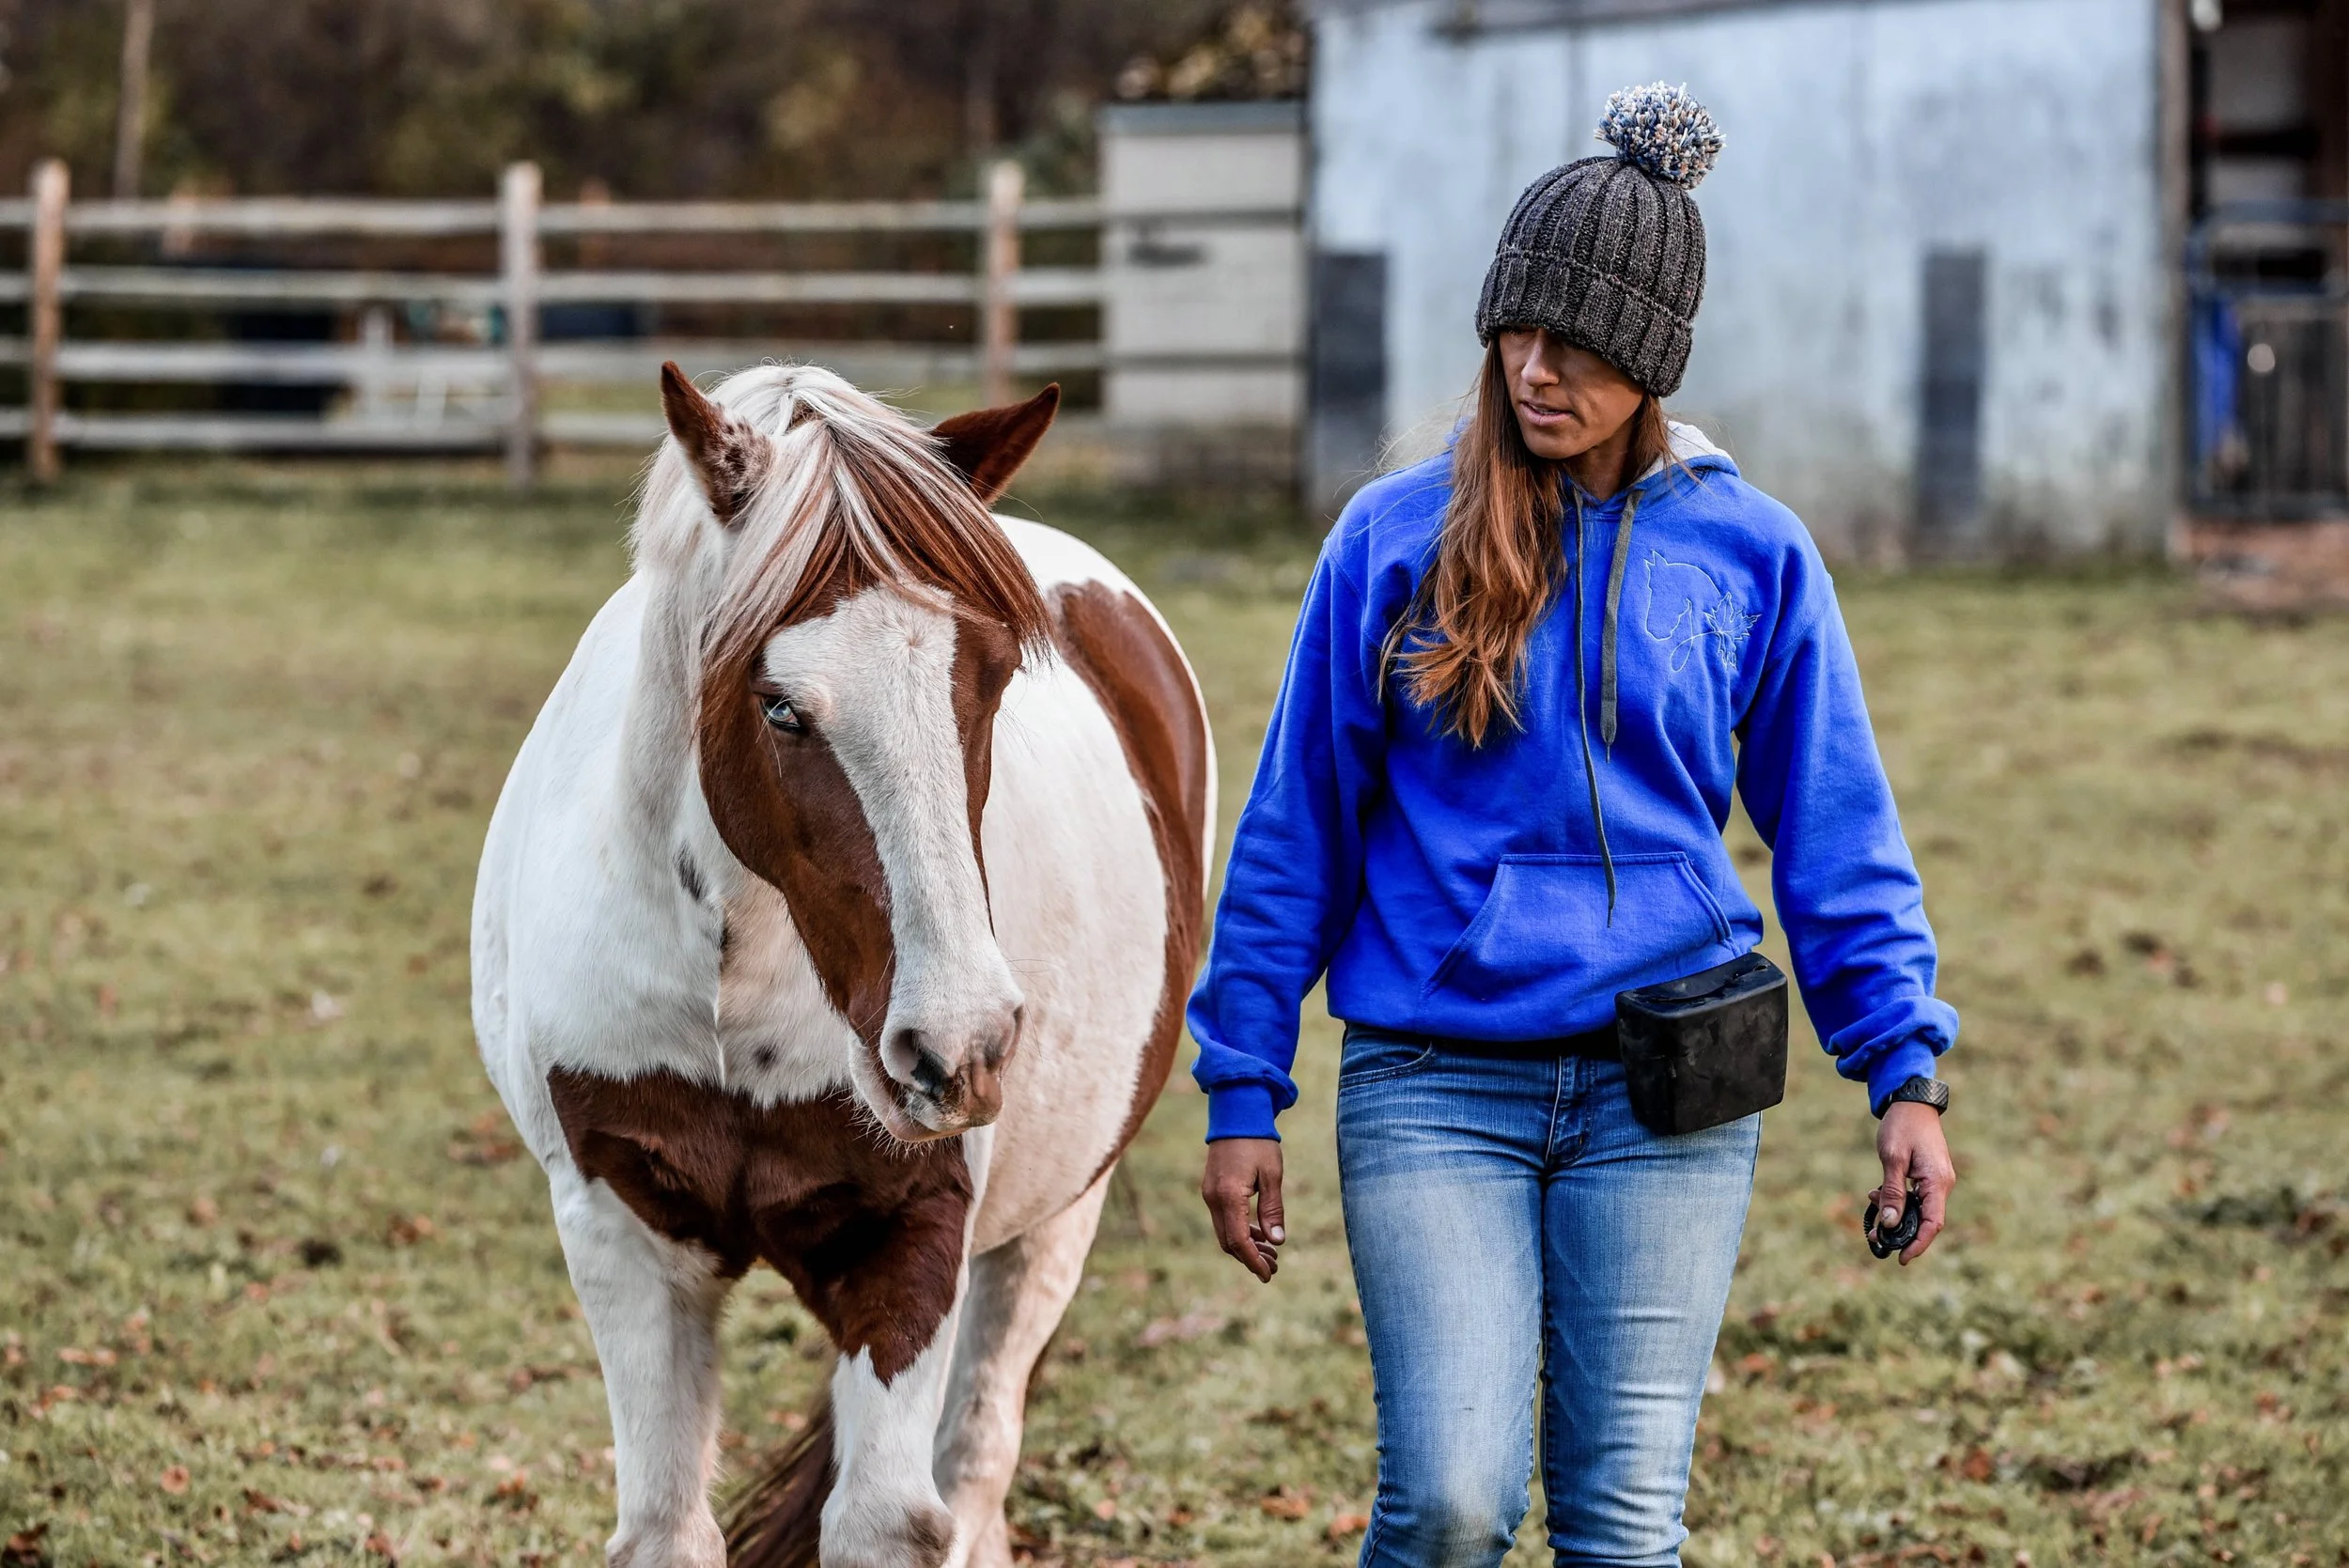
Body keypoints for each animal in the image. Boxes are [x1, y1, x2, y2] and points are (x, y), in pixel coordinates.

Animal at [469, 361, 1214, 1568]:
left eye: (991, 679)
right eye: (779, 707)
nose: (957, 1044)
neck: (739, 984)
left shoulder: (913, 1238)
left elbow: (888, 1517)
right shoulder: (618, 1228)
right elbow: (666, 1523)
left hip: (1054, 1220)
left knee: (978, 1461)